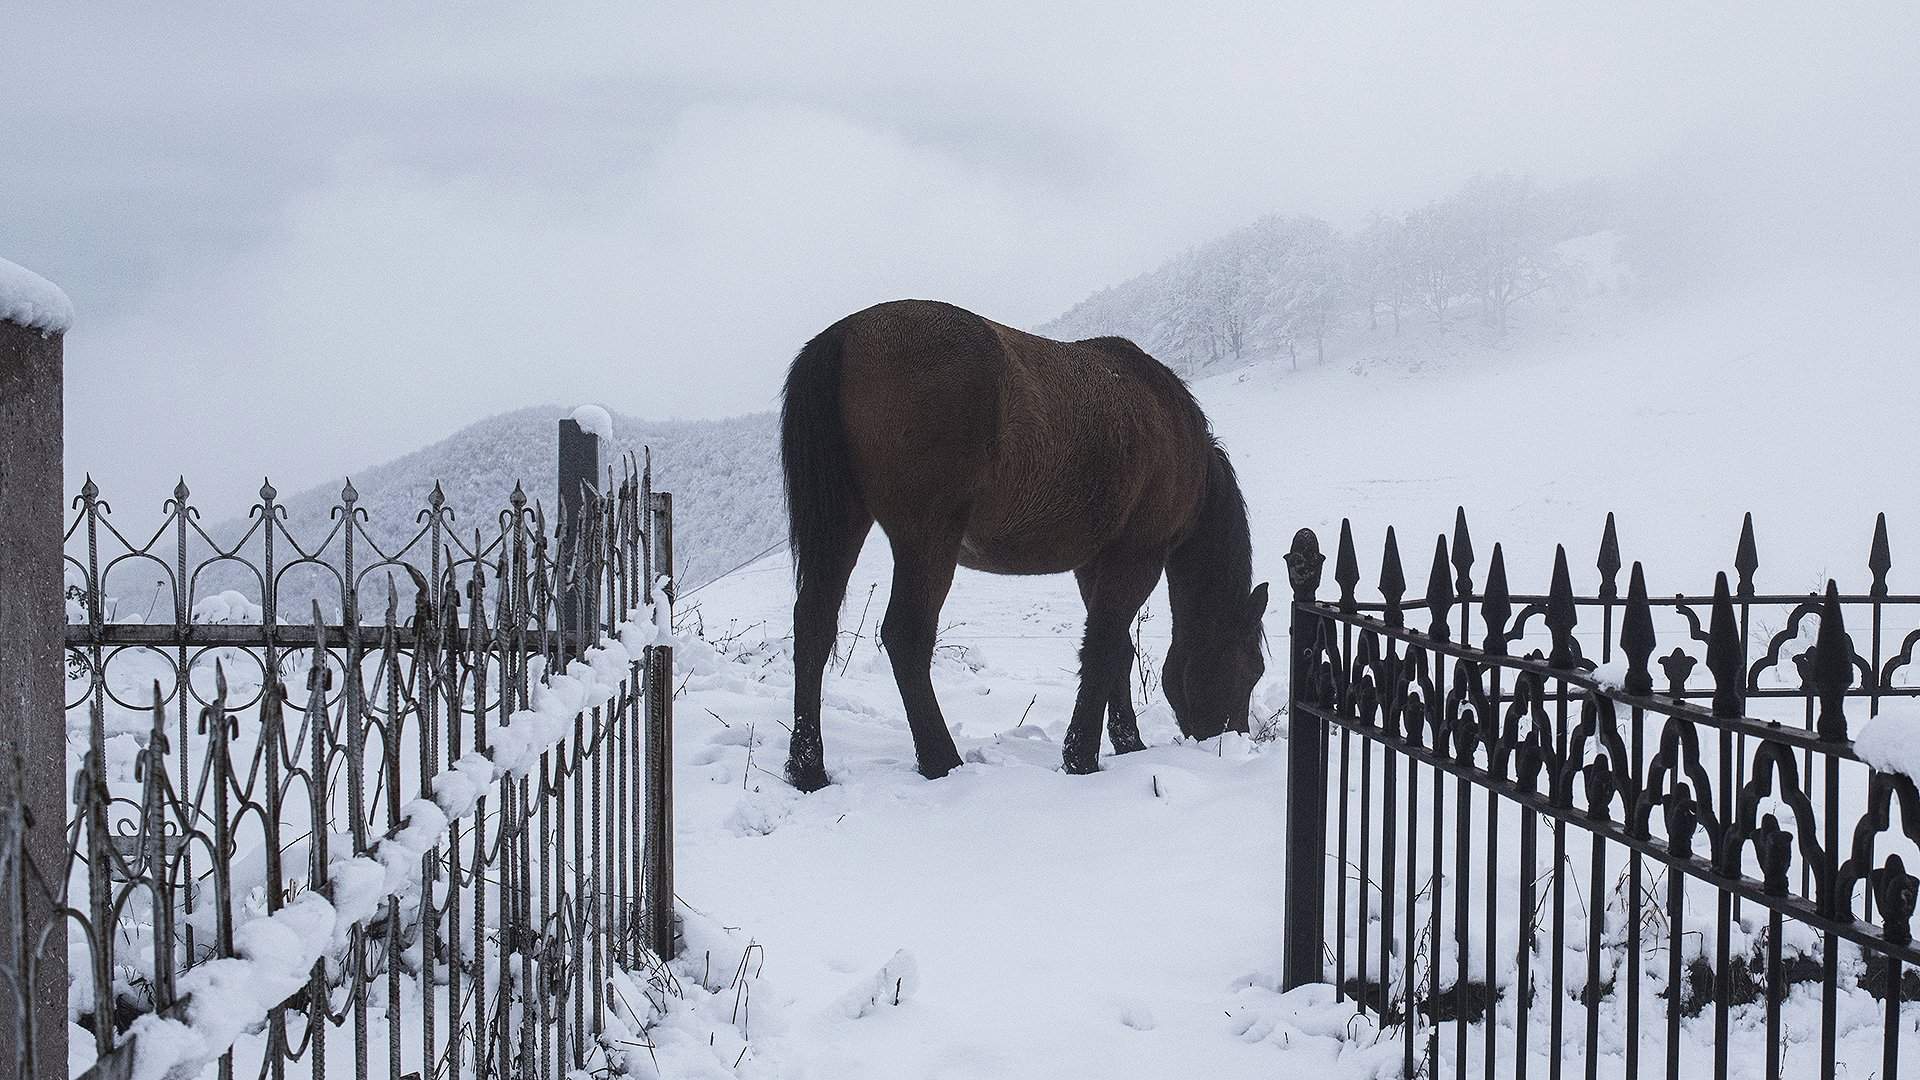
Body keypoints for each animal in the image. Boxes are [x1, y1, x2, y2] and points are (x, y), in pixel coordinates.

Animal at [775, 297, 1259, 787]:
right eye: (1252, 669)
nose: (1233, 736)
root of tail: (845, 336)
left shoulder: (1094, 563)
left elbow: (1119, 650)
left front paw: (1127, 743)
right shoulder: (1138, 555)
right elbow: (1104, 646)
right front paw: (1081, 757)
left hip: (843, 524)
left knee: (814, 624)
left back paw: (808, 768)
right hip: (928, 536)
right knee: (905, 634)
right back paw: (940, 760)